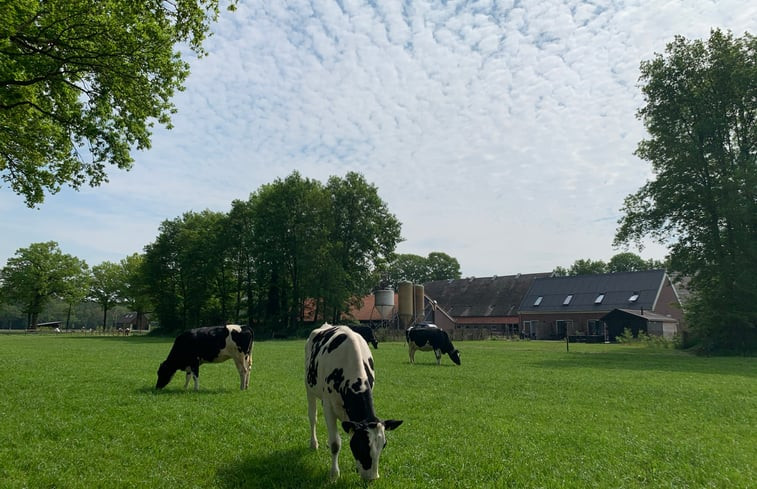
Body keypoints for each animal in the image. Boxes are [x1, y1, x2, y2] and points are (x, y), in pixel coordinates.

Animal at [306, 322, 404, 478]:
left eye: (384, 445)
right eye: (361, 445)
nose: (372, 478)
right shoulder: (328, 406)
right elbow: (335, 444)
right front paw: (334, 475)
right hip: (309, 388)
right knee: (312, 417)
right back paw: (313, 443)